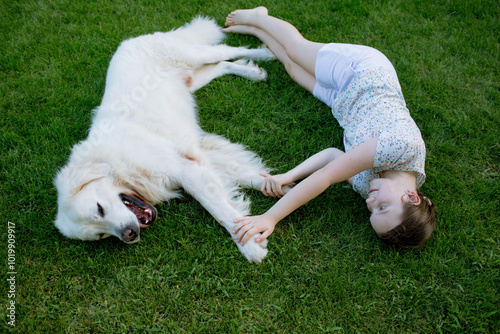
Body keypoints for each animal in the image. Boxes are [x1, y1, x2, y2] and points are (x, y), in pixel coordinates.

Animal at [54, 17, 278, 264]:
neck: (114, 165)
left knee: (227, 50)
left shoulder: (185, 169)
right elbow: (244, 175)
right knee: (222, 64)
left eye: (99, 209)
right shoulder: (196, 157)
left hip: (193, 56)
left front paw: (248, 244)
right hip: (192, 80)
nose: (128, 235)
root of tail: (129, 40)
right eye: (101, 235)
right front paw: (280, 186)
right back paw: (253, 72)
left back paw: (266, 54)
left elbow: (219, 209)